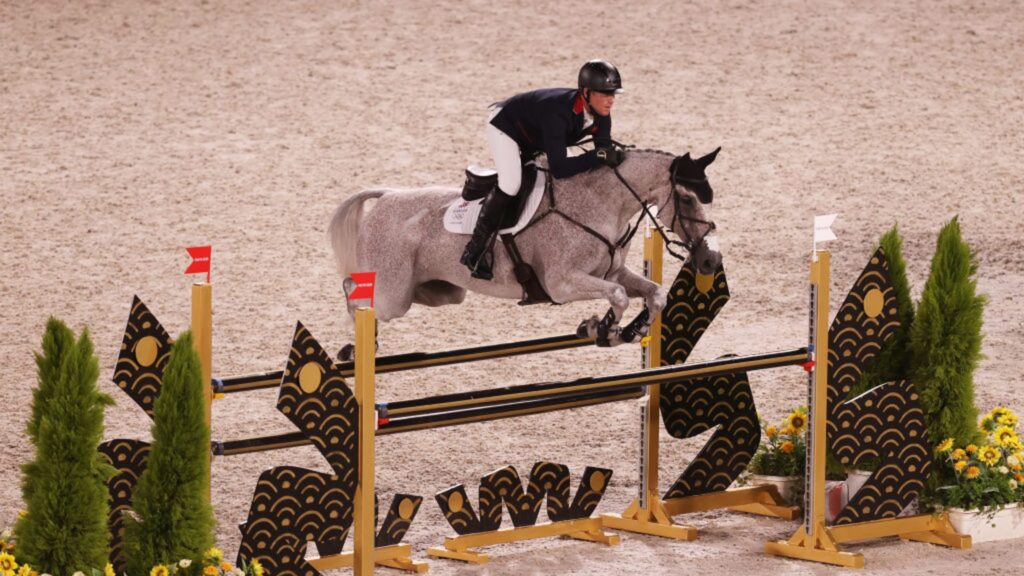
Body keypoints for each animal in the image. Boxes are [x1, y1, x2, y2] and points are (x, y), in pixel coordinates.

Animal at [327, 146, 720, 354]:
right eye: (686, 198)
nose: (710, 259)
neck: (599, 204)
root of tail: (387, 196)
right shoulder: (562, 283)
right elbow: (620, 295)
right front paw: (601, 328)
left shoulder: (610, 272)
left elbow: (655, 294)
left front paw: (626, 332)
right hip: (393, 296)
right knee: (355, 292)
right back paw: (353, 348)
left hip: (442, 292)